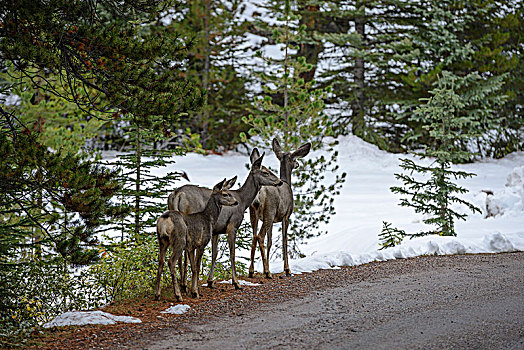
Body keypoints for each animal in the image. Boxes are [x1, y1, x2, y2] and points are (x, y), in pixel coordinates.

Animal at [167, 150, 282, 290]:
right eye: (265, 172)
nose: (280, 181)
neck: (243, 201)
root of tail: (177, 194)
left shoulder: (216, 230)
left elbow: (214, 253)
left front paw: (210, 281)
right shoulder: (232, 226)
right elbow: (232, 253)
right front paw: (236, 282)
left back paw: (183, 284)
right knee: (185, 252)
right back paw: (184, 285)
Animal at [247, 138, 310, 278]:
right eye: (294, 158)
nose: (297, 164)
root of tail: (259, 194)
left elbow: (270, 241)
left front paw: (266, 266)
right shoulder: (286, 215)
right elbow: (284, 239)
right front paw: (287, 269)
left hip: (253, 212)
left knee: (254, 236)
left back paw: (251, 271)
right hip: (269, 212)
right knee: (260, 237)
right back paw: (267, 272)